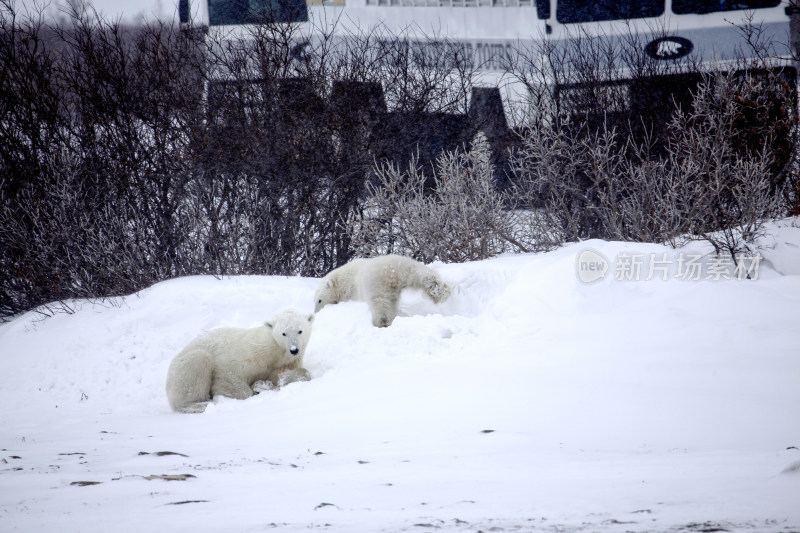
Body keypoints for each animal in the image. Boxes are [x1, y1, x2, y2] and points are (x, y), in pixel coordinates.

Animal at [166, 306, 312, 414]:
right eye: (283, 333)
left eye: (300, 331)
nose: (294, 349)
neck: (275, 351)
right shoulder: (249, 354)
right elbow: (228, 378)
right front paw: (255, 388)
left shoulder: (285, 362)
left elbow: (289, 374)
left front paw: (263, 385)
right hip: (182, 370)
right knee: (198, 361)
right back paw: (202, 404)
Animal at [312, 255, 450, 326]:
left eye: (319, 300)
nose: (316, 313)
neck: (341, 279)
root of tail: (392, 271)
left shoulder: (351, 290)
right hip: (406, 265)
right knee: (422, 274)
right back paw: (440, 290)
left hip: (376, 284)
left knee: (380, 303)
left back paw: (382, 321)